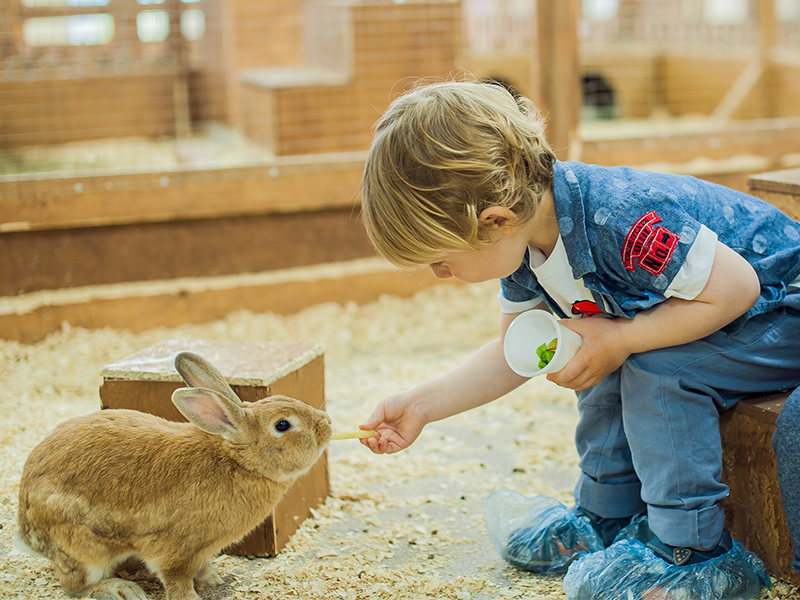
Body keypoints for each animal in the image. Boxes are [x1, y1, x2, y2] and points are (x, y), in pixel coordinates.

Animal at [13, 350, 332, 596]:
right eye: (283, 425)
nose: (327, 424)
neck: (239, 463)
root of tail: (26, 531)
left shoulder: (202, 550)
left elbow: (202, 567)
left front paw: (213, 579)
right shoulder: (176, 551)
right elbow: (176, 578)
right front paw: (191, 597)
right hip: (85, 550)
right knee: (75, 585)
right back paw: (120, 589)